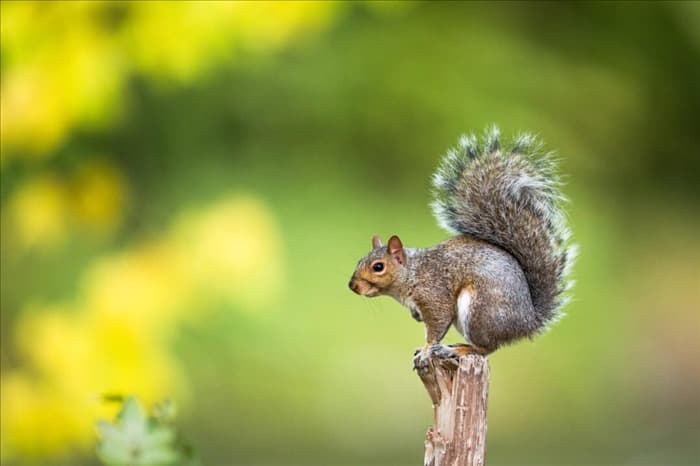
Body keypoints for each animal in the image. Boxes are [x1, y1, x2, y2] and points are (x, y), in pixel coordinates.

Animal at [348, 127, 576, 356]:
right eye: (359, 261)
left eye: (378, 267)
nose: (352, 286)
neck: (412, 273)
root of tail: (527, 323)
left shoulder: (434, 295)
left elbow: (438, 323)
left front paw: (426, 349)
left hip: (479, 312)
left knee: (487, 348)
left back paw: (461, 350)